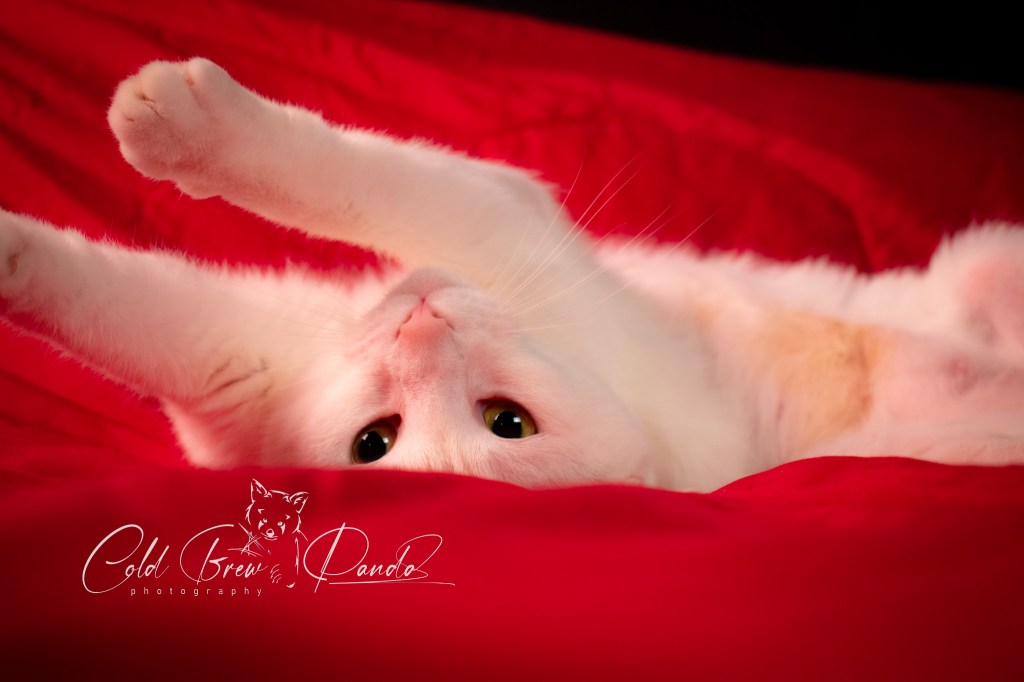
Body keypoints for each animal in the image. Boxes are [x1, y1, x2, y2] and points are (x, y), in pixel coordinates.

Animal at [1, 58, 1022, 492]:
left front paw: (176, 122)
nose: (419, 324)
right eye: (375, 440)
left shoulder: (499, 215)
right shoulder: (238, 377)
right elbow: (115, 309)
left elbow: (356, 178)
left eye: (507, 424)